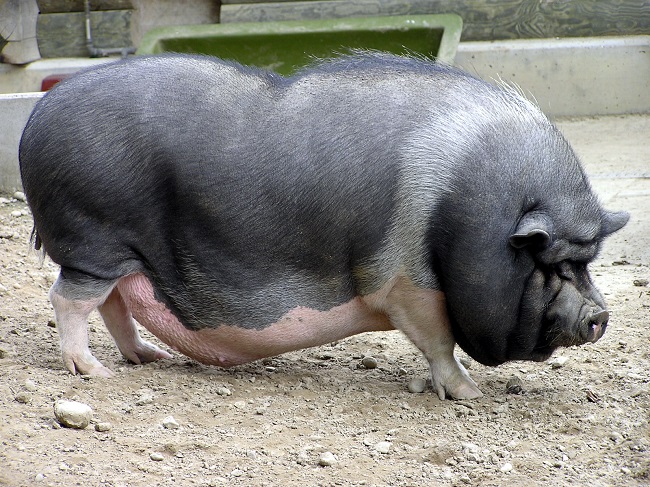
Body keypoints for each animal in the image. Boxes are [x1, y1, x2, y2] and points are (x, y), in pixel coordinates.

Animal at [19, 51, 628, 399]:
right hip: (92, 237)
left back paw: (147, 359)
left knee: (115, 304)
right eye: (553, 262)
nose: (599, 316)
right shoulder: (404, 282)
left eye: (588, 261)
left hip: (122, 252)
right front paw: (471, 394)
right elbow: (438, 341)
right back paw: (94, 374)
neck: (462, 209)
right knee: (69, 300)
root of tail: (35, 119)